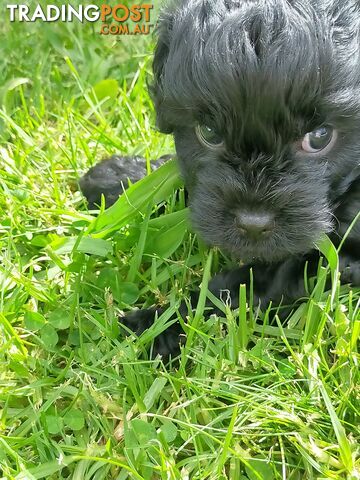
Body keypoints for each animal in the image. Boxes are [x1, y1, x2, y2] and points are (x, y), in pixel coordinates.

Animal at [81, 0, 360, 356]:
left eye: (320, 137)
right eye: (209, 133)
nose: (253, 223)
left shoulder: (319, 259)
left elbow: (238, 290)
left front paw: (155, 327)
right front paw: (116, 180)